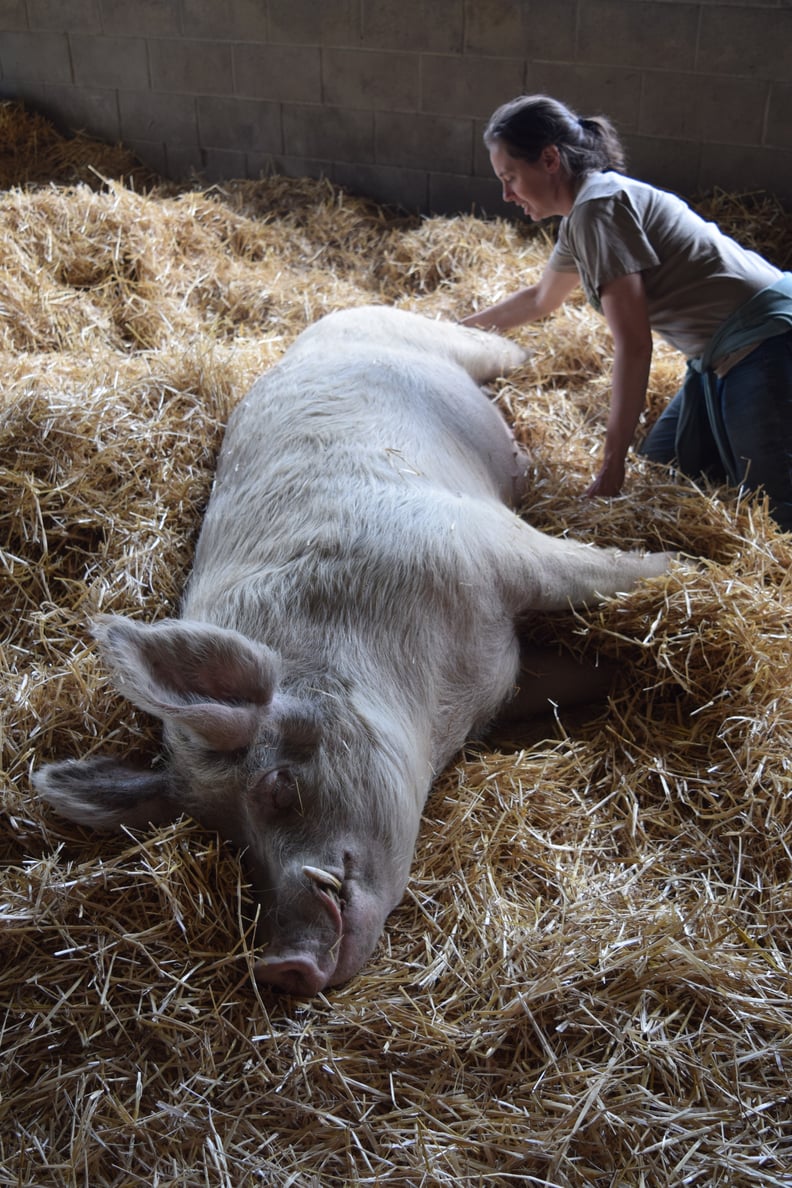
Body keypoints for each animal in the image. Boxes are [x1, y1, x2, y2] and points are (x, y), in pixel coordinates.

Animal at [34, 304, 674, 993]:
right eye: (227, 839)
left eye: (278, 786)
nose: (280, 965)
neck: (442, 706)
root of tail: (321, 324)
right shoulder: (507, 676)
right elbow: (576, 676)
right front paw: (620, 675)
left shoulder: (486, 545)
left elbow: (606, 569)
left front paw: (691, 569)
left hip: (440, 343)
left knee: (496, 346)